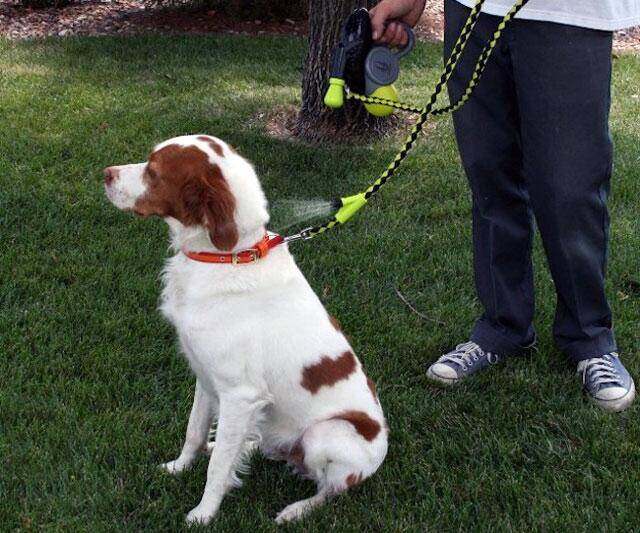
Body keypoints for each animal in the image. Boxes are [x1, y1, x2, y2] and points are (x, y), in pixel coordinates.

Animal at [102, 135, 388, 524]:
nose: (106, 174)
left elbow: (219, 469)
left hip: (325, 433)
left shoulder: (240, 394)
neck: (227, 256)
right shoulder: (206, 375)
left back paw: (295, 510)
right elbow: (194, 431)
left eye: (154, 172)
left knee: (331, 490)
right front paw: (179, 467)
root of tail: (381, 454)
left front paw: (203, 514)